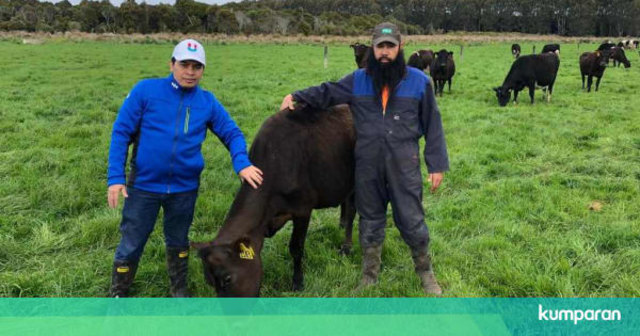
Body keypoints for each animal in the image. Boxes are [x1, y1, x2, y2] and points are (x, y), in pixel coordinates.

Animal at [192, 103, 358, 296]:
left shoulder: (303, 209)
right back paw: (341, 224)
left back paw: (347, 247)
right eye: (210, 283)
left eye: (227, 278)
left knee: (352, 210)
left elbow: (296, 248)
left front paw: (298, 283)